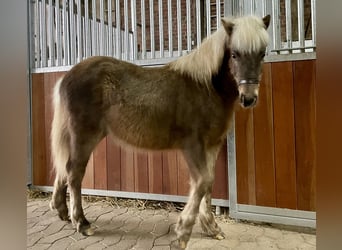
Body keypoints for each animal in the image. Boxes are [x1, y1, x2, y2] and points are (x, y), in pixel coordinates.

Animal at [50, 15, 270, 248]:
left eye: (262, 53)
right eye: (235, 54)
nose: (249, 98)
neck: (206, 88)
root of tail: (67, 76)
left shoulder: (212, 144)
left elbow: (209, 184)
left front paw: (212, 228)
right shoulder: (193, 145)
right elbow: (202, 181)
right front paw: (183, 232)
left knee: (64, 168)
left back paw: (62, 211)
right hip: (85, 135)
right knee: (74, 171)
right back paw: (82, 223)